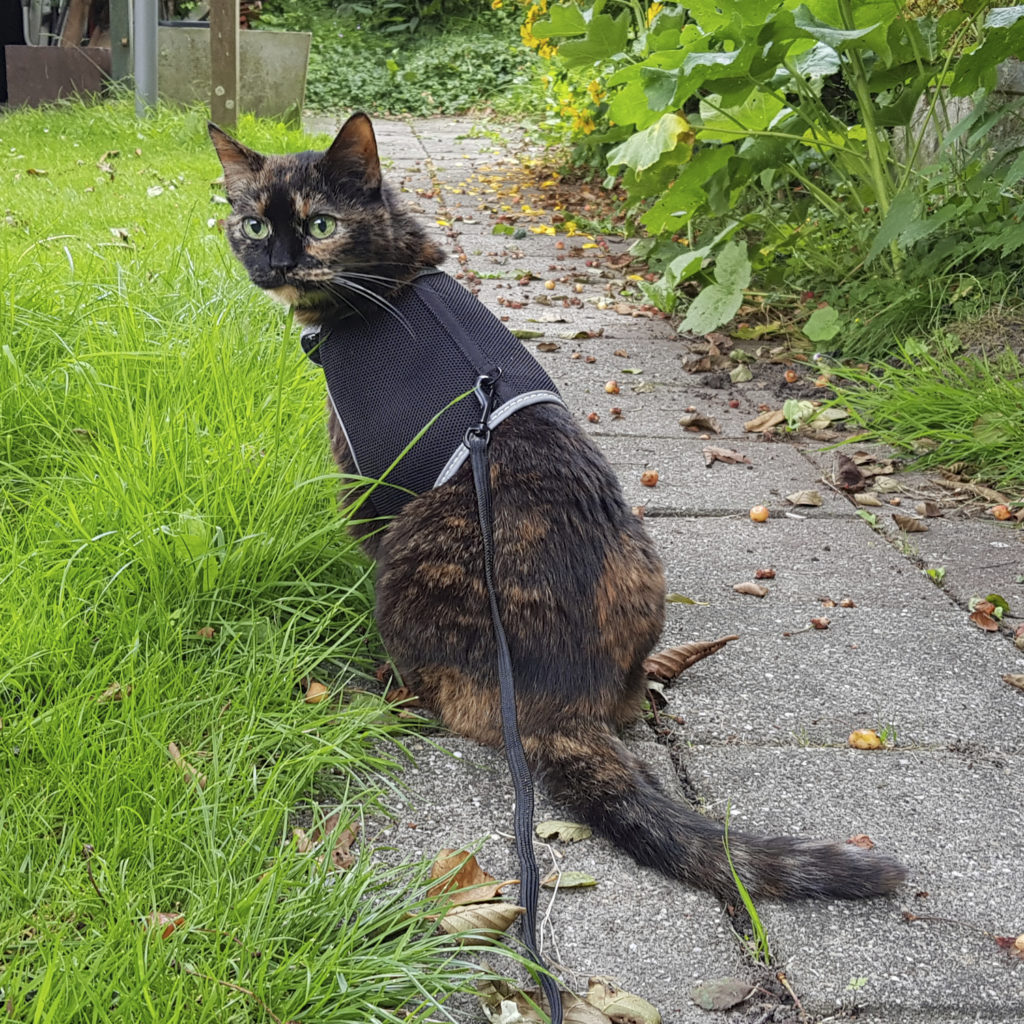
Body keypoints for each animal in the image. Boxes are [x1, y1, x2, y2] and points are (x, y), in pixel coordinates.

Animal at [209, 114, 905, 897]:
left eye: (320, 224)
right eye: (254, 224)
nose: (277, 264)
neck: (394, 281)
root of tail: (561, 704)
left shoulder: (368, 484)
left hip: (412, 548)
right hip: (638, 558)